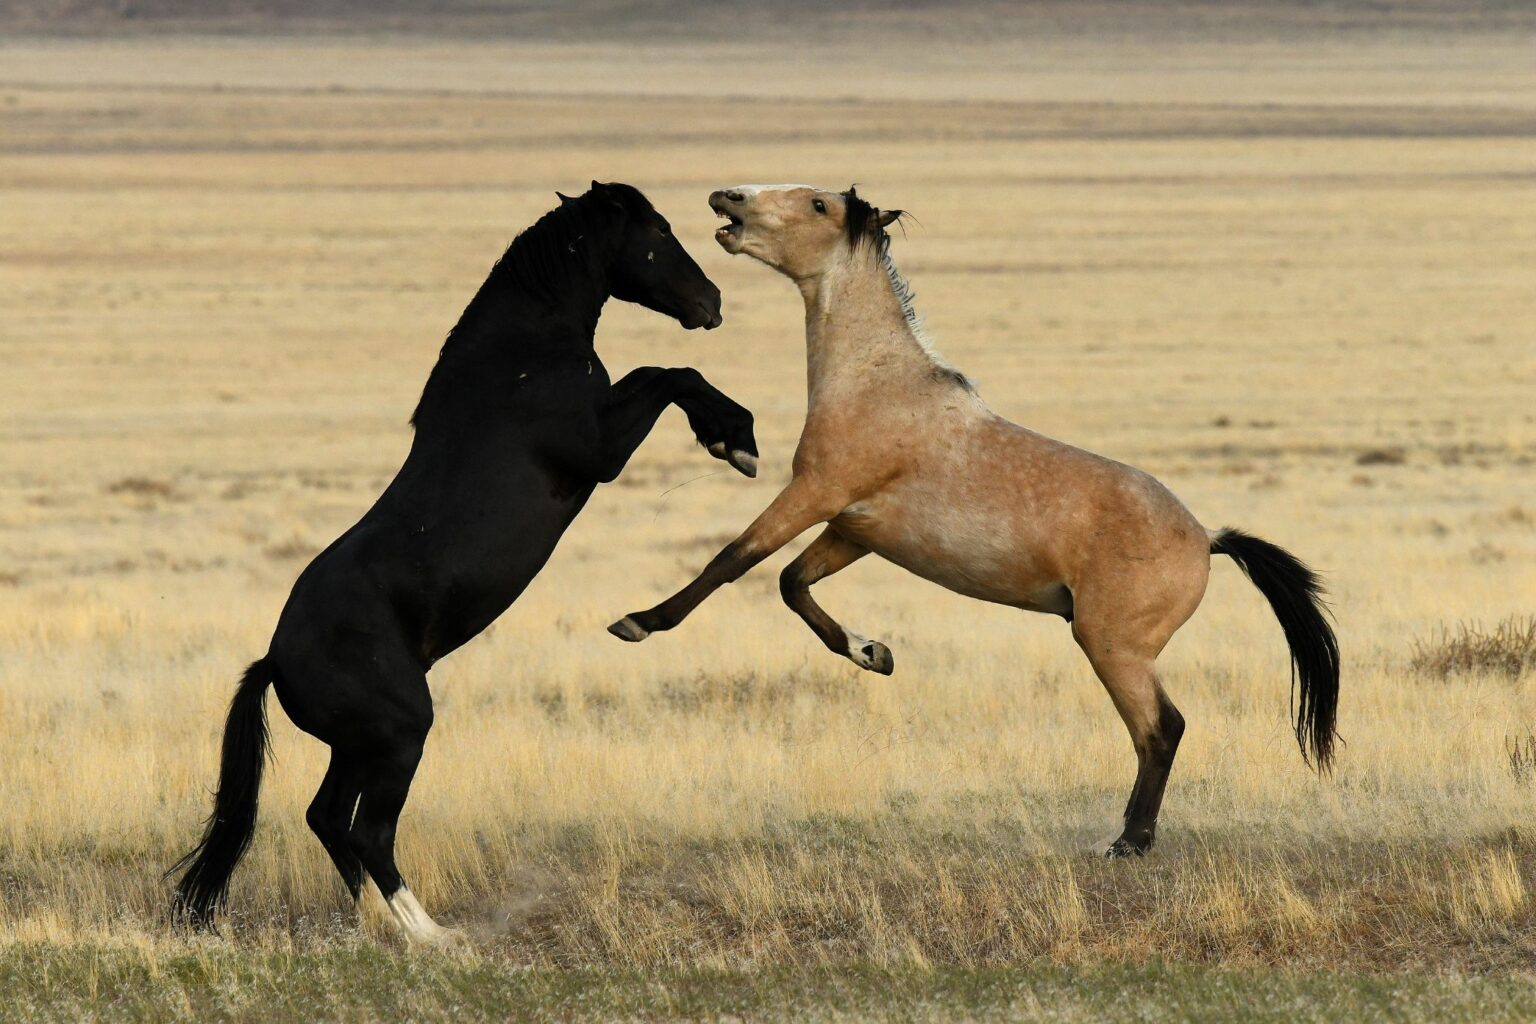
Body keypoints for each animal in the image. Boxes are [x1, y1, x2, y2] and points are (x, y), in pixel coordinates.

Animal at [171, 181, 758, 944]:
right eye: (657, 231)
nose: (711, 302)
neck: (522, 354)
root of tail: (275, 659)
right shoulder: (599, 449)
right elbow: (668, 374)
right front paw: (735, 439)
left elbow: (663, 373)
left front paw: (734, 437)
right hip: (400, 736)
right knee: (366, 831)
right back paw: (434, 937)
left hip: (358, 746)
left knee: (327, 818)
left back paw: (376, 924)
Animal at [609, 184, 1339, 857]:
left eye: (817, 204)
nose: (727, 198)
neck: (878, 383)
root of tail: (1206, 539)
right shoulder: (855, 528)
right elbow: (793, 583)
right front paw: (874, 654)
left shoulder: (814, 494)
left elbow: (733, 559)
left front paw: (639, 622)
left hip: (1112, 646)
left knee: (1162, 729)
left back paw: (1129, 841)